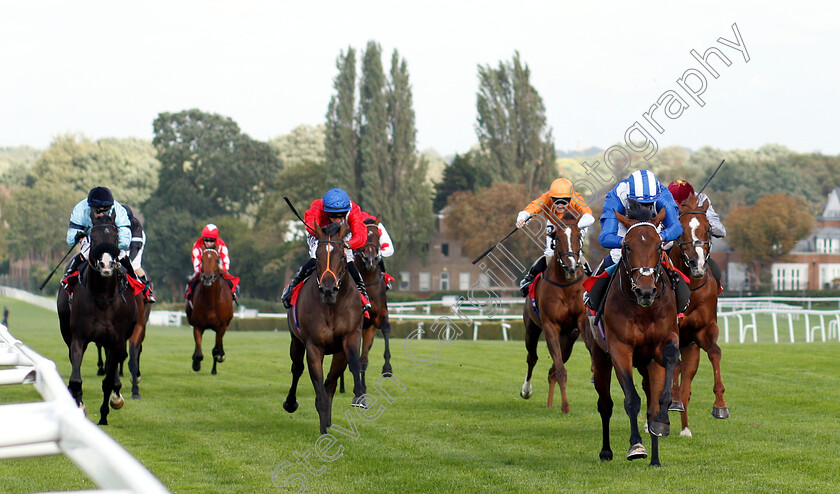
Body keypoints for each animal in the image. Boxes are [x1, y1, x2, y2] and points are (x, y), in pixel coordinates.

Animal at [57, 210, 137, 422]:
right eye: (93, 236)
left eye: (116, 235)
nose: (106, 265)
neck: (102, 297)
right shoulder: (78, 337)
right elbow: (75, 379)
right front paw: (80, 406)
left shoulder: (117, 339)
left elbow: (108, 381)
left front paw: (104, 414)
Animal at [284, 222, 366, 434]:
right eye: (318, 255)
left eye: (342, 256)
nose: (328, 290)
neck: (331, 307)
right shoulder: (313, 346)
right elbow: (317, 385)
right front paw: (323, 432)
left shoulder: (350, 337)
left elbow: (354, 364)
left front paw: (360, 397)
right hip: (296, 341)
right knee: (297, 368)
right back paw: (291, 403)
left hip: (338, 353)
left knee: (330, 382)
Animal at [520, 210, 588, 412]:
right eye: (557, 237)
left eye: (579, 236)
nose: (572, 267)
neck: (566, 285)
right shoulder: (550, 326)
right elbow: (559, 370)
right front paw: (565, 406)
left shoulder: (581, 322)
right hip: (532, 329)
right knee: (532, 358)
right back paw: (527, 391)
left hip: (569, 338)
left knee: (552, 369)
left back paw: (550, 404)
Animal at [584, 202, 684, 466]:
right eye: (627, 246)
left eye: (659, 245)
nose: (645, 291)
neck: (643, 310)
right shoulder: (620, 348)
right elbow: (631, 399)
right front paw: (636, 446)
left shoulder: (664, 342)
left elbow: (660, 393)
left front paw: (662, 422)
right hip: (600, 357)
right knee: (605, 404)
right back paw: (606, 451)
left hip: (647, 364)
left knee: (650, 403)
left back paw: (656, 458)